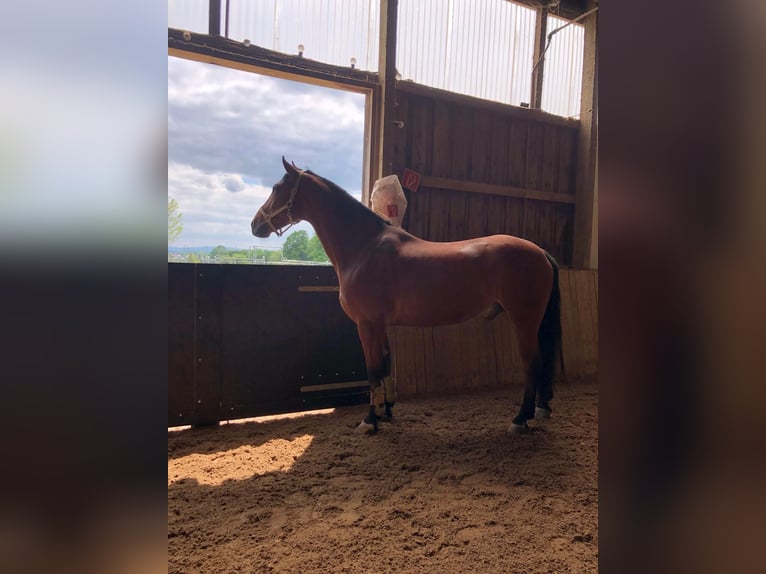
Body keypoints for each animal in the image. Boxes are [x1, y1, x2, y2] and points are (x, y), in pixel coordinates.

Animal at [252, 157, 561, 434]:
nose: (256, 225)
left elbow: (373, 370)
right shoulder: (380, 325)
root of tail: (540, 252)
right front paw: (386, 412)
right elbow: (386, 365)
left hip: (524, 321)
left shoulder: (366, 325)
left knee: (532, 364)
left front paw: (369, 421)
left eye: (277, 188)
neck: (364, 248)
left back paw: (520, 419)